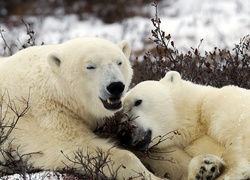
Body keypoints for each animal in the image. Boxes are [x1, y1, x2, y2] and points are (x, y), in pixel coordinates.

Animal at [118, 71, 250, 179]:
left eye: (138, 101)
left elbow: (240, 137)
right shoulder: (193, 144)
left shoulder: (222, 103)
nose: (124, 133)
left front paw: (228, 172)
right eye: (121, 113)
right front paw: (206, 168)